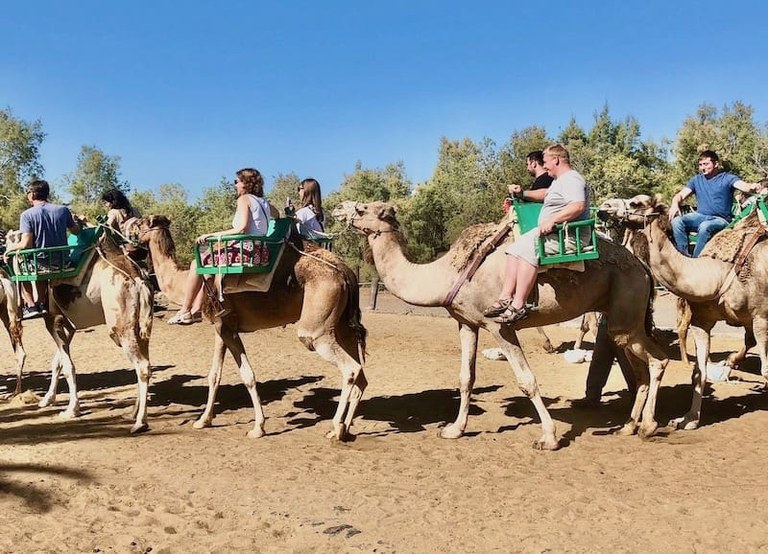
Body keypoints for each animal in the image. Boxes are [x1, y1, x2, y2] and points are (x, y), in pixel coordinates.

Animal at [5, 229, 154, 433]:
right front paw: (47, 400)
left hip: (120, 327)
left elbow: (68, 366)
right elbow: (57, 362)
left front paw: (71, 410)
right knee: (145, 361)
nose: (6, 255)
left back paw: (140, 422)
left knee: (142, 366)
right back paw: (131, 413)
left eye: (11, 240)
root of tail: (139, 281)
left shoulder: (53, 319)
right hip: (139, 326)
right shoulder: (69, 325)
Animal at [128, 215, 367, 440]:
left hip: (316, 329)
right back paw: (346, 428)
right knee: (361, 374)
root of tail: (345, 271)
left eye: (139, 223)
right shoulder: (221, 326)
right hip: (342, 326)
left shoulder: (227, 328)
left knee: (349, 368)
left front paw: (257, 427)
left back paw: (335, 429)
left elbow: (247, 376)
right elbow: (214, 375)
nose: (128, 230)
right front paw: (203, 421)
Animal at [332, 201, 669, 450]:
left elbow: (527, 380)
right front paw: (454, 430)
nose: (338, 209)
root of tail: (643, 267)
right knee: (638, 365)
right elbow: (466, 377)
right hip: (622, 321)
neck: (446, 274)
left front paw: (549, 438)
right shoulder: (466, 323)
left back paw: (649, 426)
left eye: (362, 209)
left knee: (658, 360)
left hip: (626, 312)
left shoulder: (499, 326)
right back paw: (628, 426)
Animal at [598, 196, 768, 429]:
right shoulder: (702, 321)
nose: (602, 208)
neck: (719, 272)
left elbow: (766, 371)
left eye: (636, 203)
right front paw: (687, 419)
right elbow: (699, 373)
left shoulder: (761, 318)